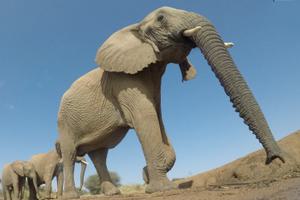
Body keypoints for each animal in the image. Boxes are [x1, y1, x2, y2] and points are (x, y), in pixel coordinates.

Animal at [56, 6, 286, 198]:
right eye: (161, 18)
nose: (274, 159)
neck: (135, 28)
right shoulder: (123, 81)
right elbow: (145, 118)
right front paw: (160, 188)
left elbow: (158, 119)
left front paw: (147, 177)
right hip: (64, 122)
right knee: (70, 154)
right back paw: (72, 195)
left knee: (99, 154)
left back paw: (113, 193)